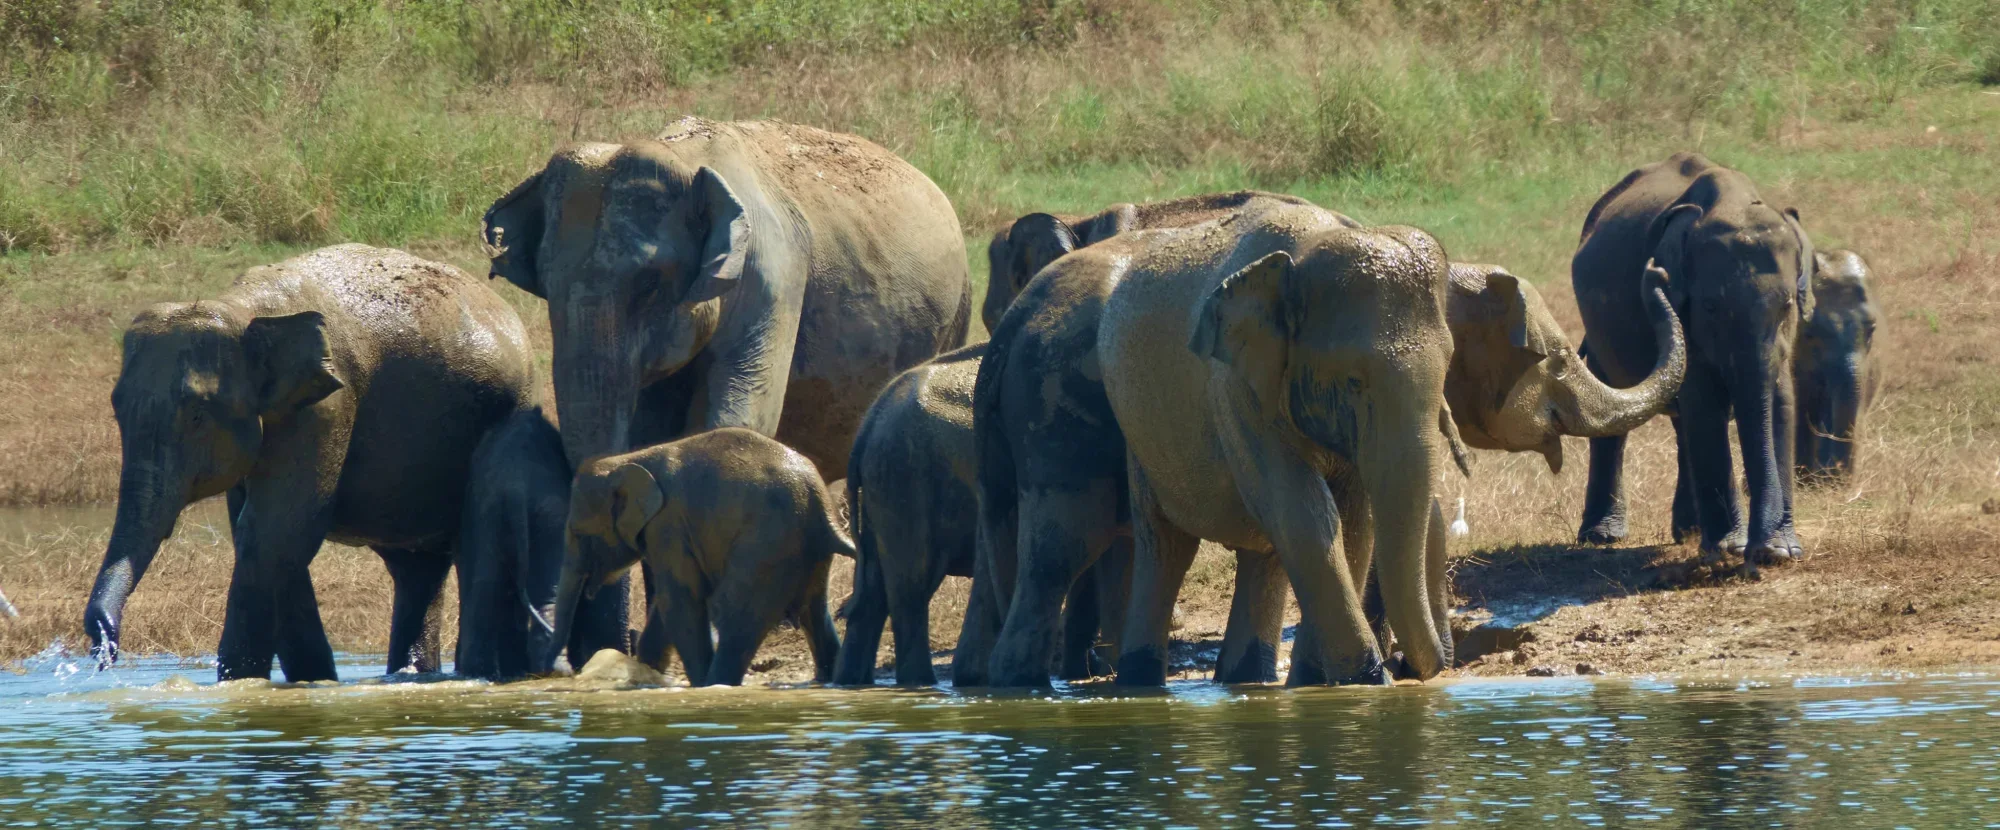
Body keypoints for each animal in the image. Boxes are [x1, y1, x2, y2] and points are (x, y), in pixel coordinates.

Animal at [83, 245, 536, 682]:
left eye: (196, 415)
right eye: (116, 409)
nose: (102, 649)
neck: (244, 309)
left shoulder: (327, 407)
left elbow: (275, 533)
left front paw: (242, 683)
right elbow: (269, 538)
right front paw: (312, 682)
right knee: (416, 569)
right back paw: (410, 675)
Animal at [452, 409, 632, 680]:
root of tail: (515, 489)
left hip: (493, 513)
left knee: (486, 586)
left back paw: (479, 673)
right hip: (550, 518)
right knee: (548, 589)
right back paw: (555, 669)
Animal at [547, 428, 850, 686]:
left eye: (579, 534)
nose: (561, 670)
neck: (628, 460)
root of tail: (822, 504)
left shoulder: (669, 525)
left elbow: (679, 600)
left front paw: (696, 683)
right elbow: (667, 603)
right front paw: (647, 674)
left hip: (768, 543)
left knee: (733, 613)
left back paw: (716, 683)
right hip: (806, 551)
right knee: (815, 611)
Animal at [1572, 152, 1817, 566]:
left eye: (1787, 305)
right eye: (1711, 307)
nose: (1653, 270)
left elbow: (1780, 403)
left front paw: (1780, 551)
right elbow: (1706, 403)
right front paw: (1730, 549)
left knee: (1682, 423)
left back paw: (1687, 531)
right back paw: (1601, 536)